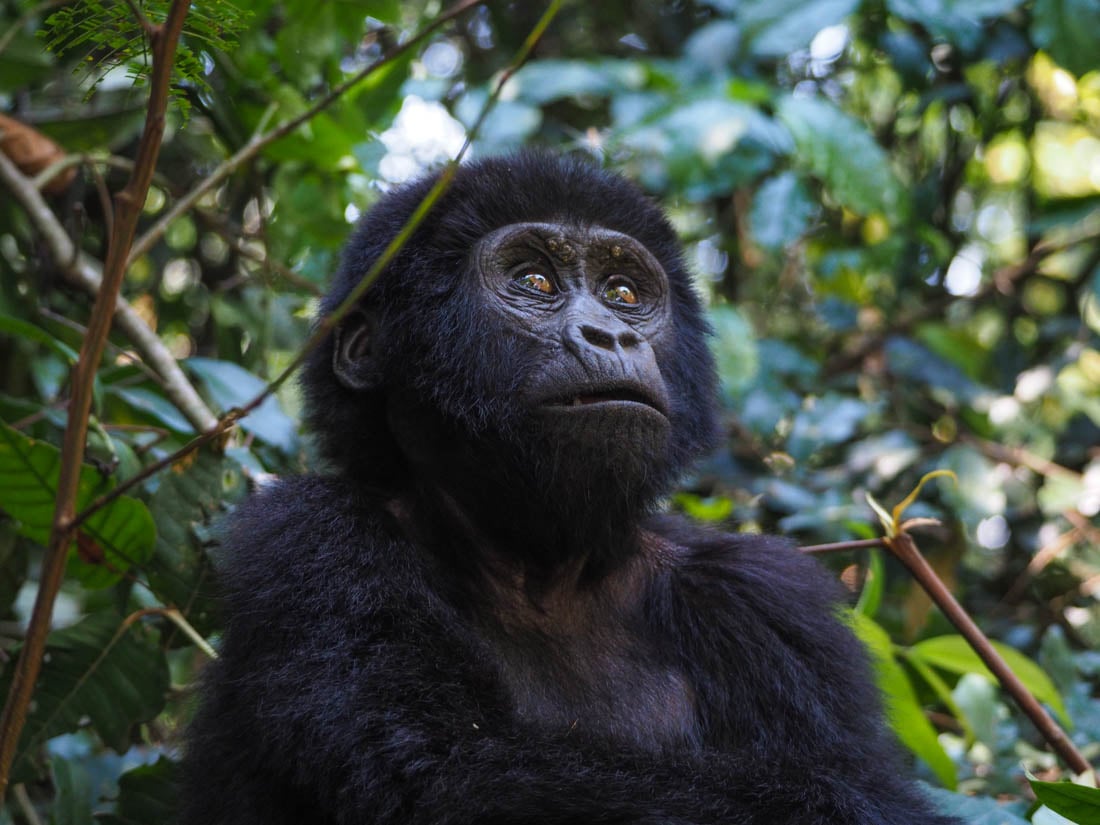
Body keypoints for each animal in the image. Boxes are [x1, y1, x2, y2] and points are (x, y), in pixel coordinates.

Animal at [178, 151, 954, 822]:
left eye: (623, 292)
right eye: (536, 282)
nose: (610, 334)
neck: (539, 567)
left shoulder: (763, 598)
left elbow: (849, 780)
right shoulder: (313, 535)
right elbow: (453, 769)